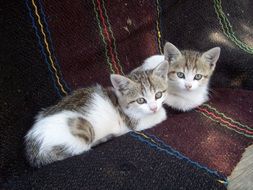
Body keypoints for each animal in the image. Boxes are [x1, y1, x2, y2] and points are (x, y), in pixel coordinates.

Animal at [24, 60, 169, 166]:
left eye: (158, 95)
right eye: (140, 100)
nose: (154, 108)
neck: (121, 103)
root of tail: (33, 148)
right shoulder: (134, 123)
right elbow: (161, 115)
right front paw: (161, 112)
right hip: (82, 127)